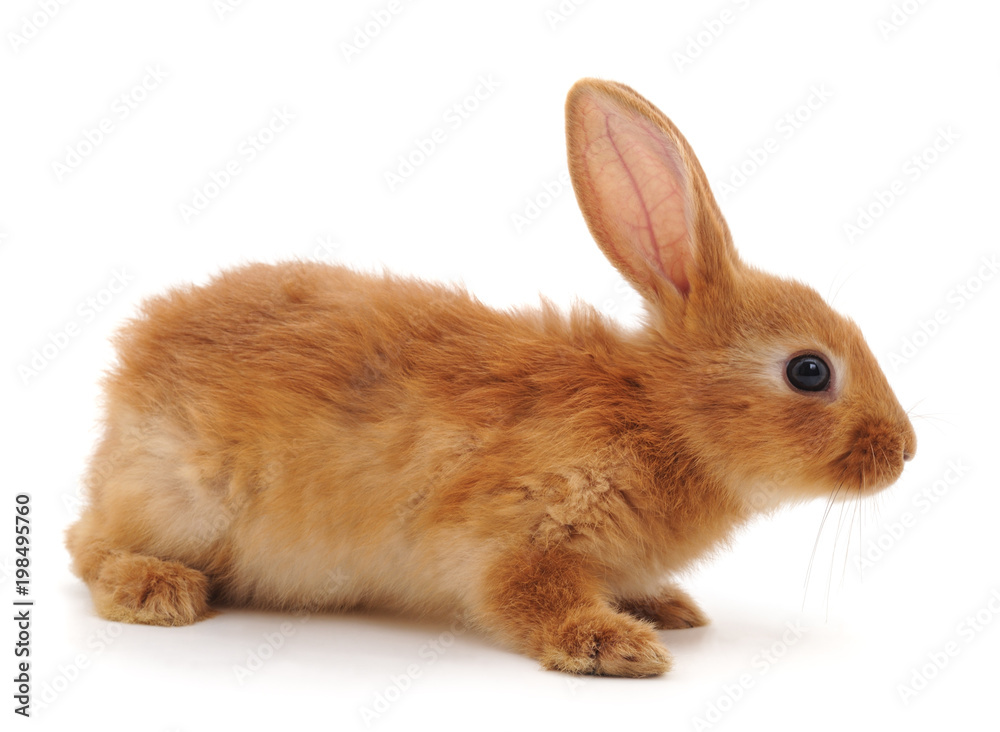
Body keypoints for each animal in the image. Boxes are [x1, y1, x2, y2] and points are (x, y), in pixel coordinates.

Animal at [66, 78, 916, 677]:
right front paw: (615, 646)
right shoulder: (524, 525)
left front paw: (668, 609)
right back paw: (156, 591)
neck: (663, 413)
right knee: (88, 550)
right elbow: (525, 593)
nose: (904, 451)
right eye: (810, 371)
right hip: (183, 501)